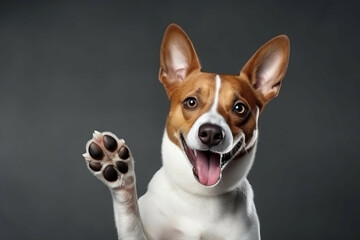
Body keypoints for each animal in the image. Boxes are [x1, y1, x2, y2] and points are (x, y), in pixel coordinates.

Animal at [82, 23, 290, 239]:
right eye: (191, 102)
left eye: (239, 108)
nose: (211, 133)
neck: (200, 196)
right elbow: (131, 222)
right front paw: (117, 170)